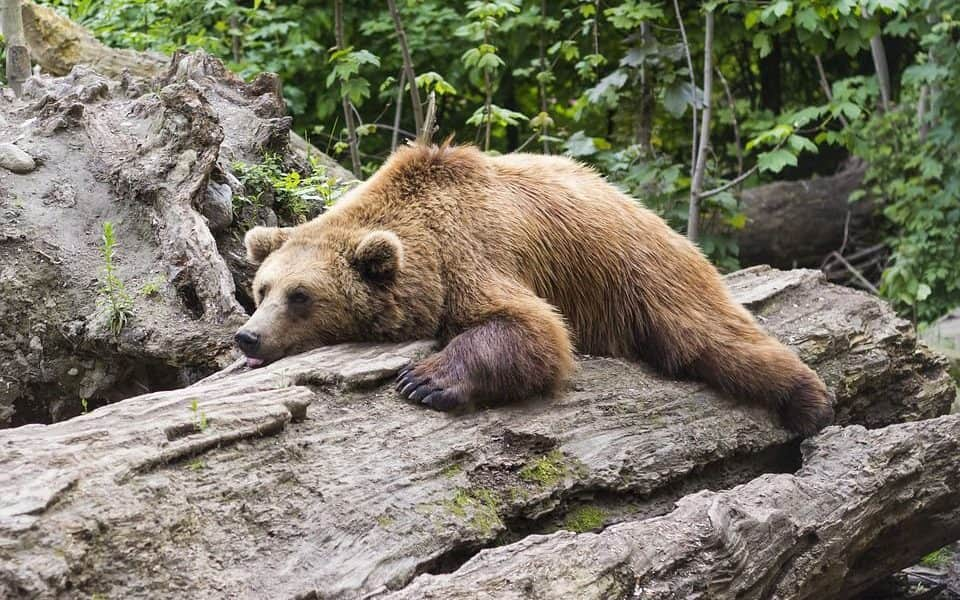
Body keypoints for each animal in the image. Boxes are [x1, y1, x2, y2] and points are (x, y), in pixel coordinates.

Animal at [238, 144, 832, 436]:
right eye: (262, 289)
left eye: (301, 296)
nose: (248, 337)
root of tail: (638, 205)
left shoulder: (473, 255)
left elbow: (533, 329)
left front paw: (425, 380)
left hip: (641, 274)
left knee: (712, 338)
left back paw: (811, 401)